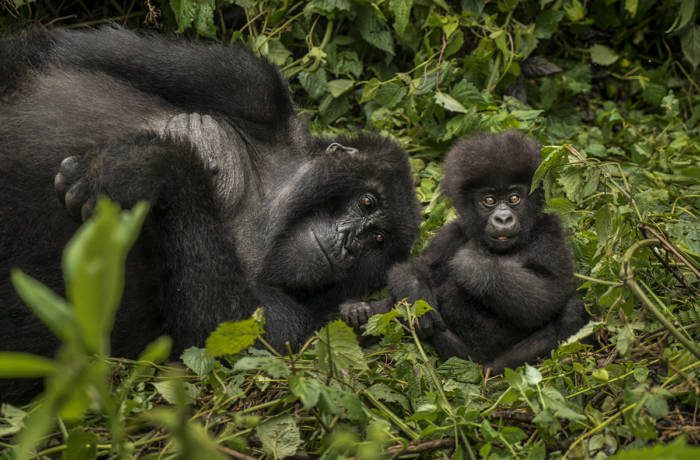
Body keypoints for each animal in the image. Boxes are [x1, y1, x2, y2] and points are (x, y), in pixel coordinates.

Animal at [0, 27, 416, 400]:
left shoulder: (315, 324)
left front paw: (156, 168)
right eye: (367, 203)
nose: (350, 244)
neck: (273, 207)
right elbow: (55, 52)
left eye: (378, 240)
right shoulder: (252, 86)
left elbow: (223, 334)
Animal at [344, 130, 592, 374]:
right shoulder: (454, 231)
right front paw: (418, 298)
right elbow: (415, 268)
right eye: (489, 200)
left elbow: (552, 291)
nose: (503, 218)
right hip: (459, 355)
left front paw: (473, 265)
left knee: (572, 310)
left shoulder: (550, 231)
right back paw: (357, 314)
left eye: (514, 198)